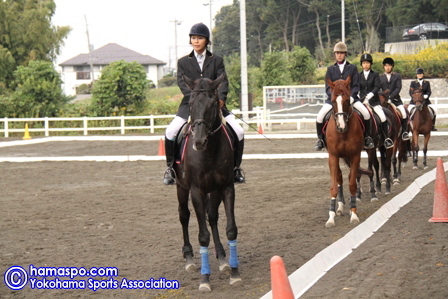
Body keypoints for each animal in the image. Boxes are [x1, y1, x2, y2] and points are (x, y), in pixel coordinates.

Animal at [173, 74, 242, 292]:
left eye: (213, 104)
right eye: (191, 103)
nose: (199, 141)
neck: (209, 151)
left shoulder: (226, 188)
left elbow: (231, 229)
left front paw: (235, 274)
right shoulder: (196, 191)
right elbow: (202, 235)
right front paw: (205, 279)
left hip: (214, 191)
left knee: (211, 216)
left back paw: (222, 259)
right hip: (181, 187)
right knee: (184, 216)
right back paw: (188, 258)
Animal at [324, 77, 366, 227]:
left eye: (347, 101)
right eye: (332, 101)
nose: (341, 127)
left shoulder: (355, 156)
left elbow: (352, 184)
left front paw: (353, 215)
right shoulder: (333, 156)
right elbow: (334, 187)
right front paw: (330, 218)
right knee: (339, 178)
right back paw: (340, 207)